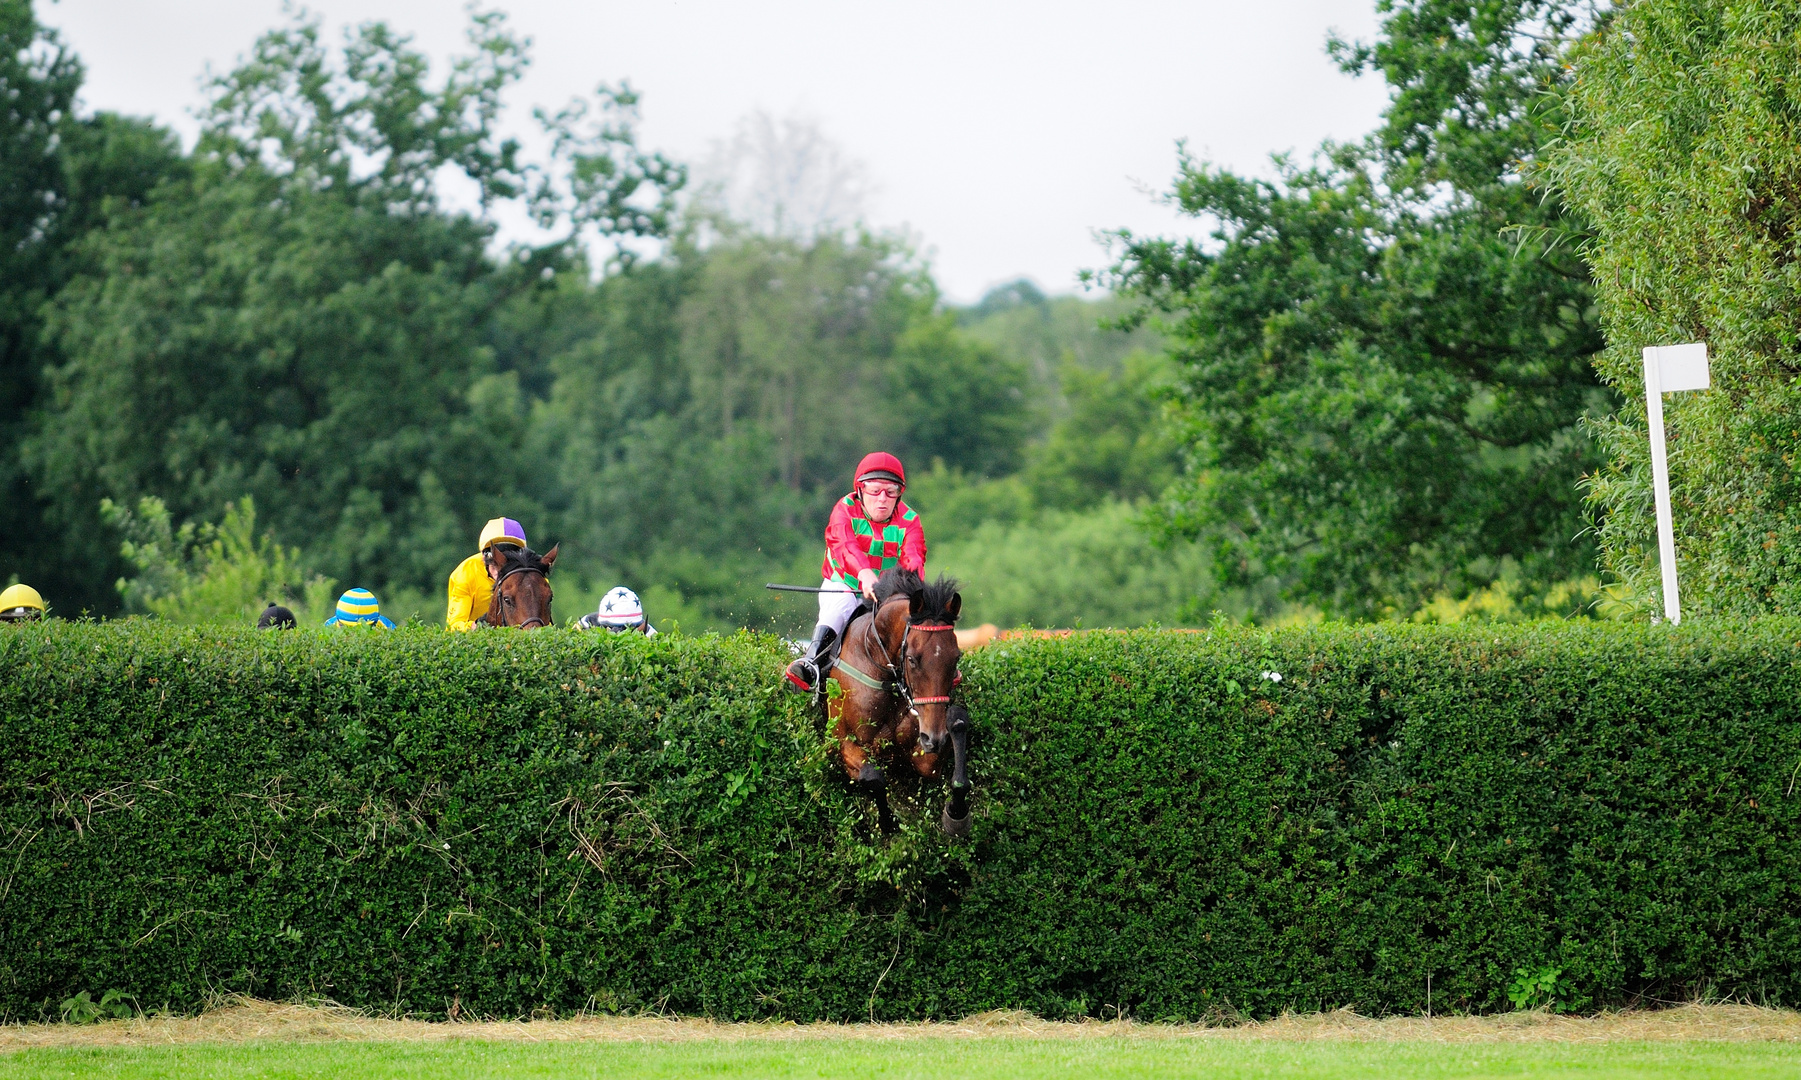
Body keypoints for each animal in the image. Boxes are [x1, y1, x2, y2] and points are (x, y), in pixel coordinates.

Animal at [824, 568, 972, 838]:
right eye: (912, 659)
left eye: (956, 657)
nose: (934, 738)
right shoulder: (839, 741)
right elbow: (873, 775)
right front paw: (887, 821)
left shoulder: (919, 753)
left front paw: (956, 813)